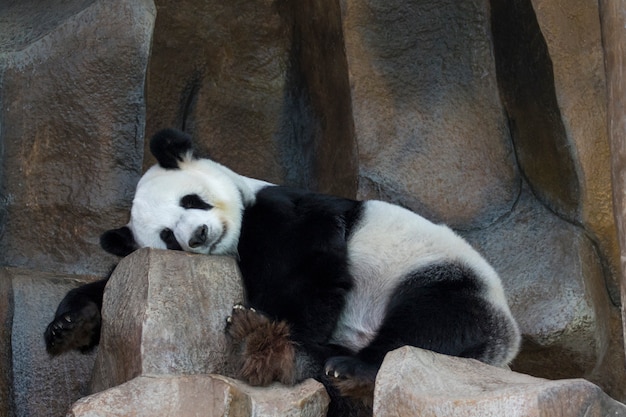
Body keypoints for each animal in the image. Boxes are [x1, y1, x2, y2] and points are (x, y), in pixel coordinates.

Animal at [46, 128, 520, 414]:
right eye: (166, 235)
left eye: (190, 200)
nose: (197, 236)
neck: (236, 234)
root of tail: (507, 347)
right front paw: (69, 325)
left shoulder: (286, 212)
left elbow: (309, 271)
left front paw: (264, 326)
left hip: (440, 275)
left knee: (430, 323)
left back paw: (343, 367)